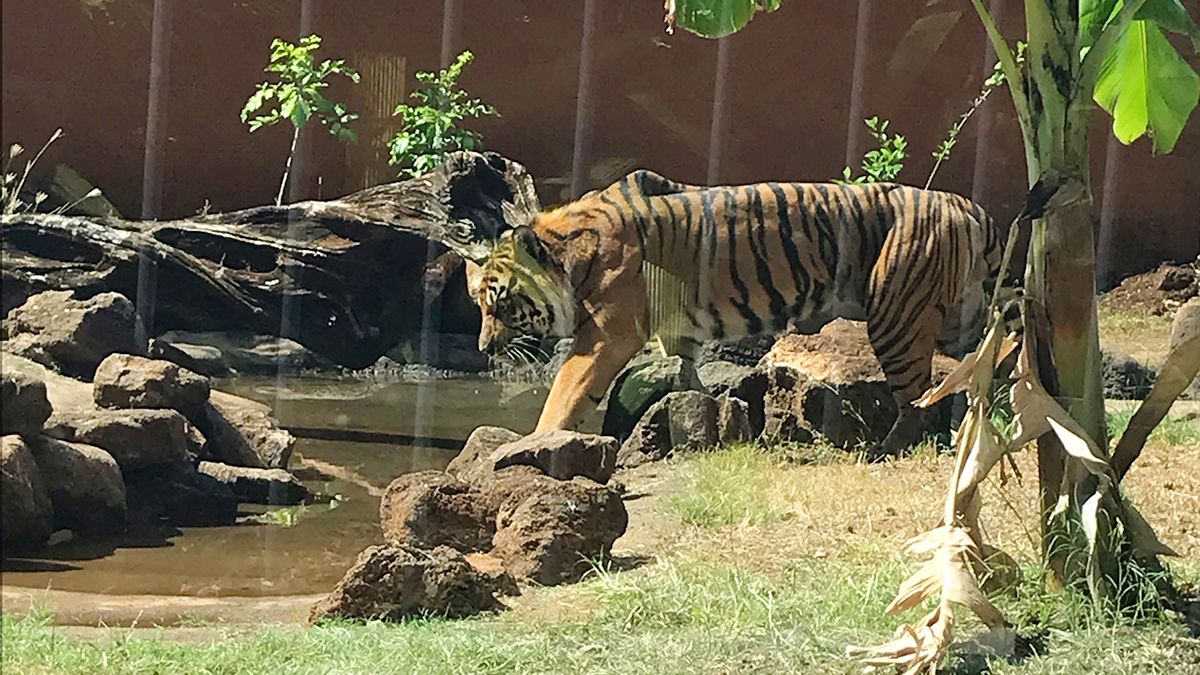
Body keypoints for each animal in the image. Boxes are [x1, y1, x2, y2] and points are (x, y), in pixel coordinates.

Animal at [463, 169, 1008, 451]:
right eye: (478, 305)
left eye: (500, 302)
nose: (484, 347)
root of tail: (971, 207)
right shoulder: (678, 332)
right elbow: (687, 375)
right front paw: (708, 419)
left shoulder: (606, 335)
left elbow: (566, 390)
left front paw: (534, 440)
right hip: (961, 314)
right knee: (991, 362)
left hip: (897, 316)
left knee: (919, 399)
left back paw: (885, 450)